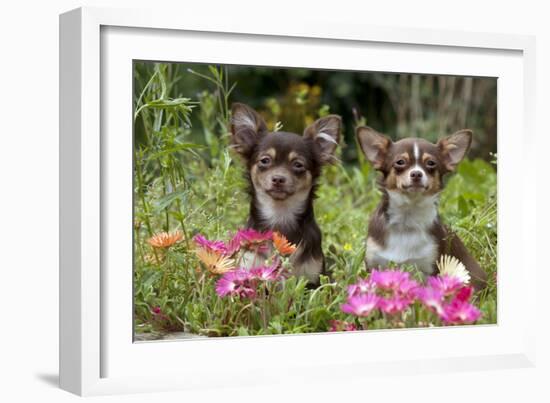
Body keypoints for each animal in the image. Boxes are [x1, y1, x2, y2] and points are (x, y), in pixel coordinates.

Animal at [360, 125, 490, 290]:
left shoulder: (431, 267)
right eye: (400, 162)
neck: (407, 219)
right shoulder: (374, 264)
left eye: (431, 163)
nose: (416, 173)